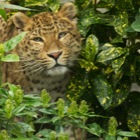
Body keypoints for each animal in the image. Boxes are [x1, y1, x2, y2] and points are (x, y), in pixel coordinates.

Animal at [0, 2, 83, 140]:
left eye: (62, 34)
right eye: (38, 39)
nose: (55, 54)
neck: (45, 81)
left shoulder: (59, 106)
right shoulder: (18, 110)